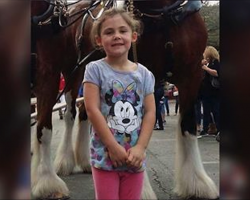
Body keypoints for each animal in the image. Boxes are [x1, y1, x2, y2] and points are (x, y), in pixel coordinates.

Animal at [31, 0, 219, 199]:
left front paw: (196, 183)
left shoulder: (191, 77)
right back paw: (64, 162)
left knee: (84, 113)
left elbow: (188, 127)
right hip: (72, 73)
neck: (164, 14)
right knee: (70, 114)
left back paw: (85, 161)